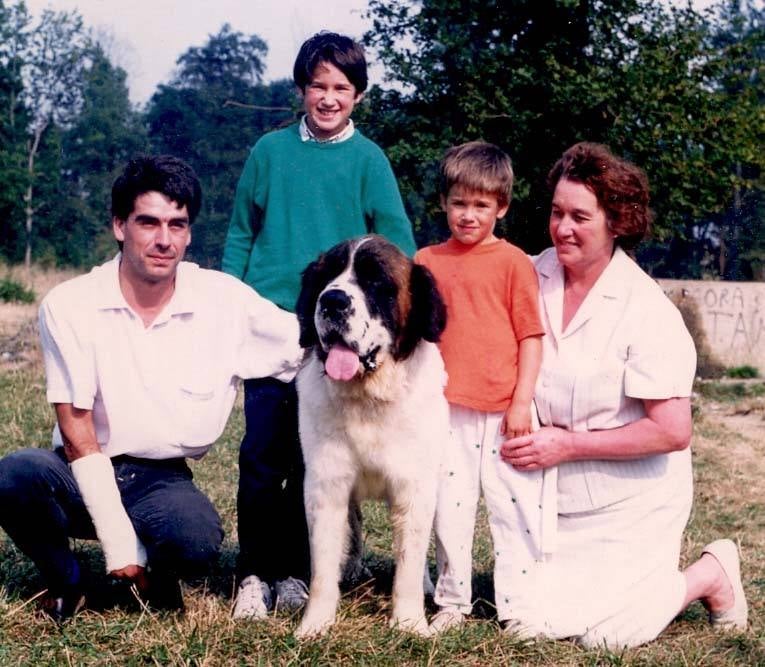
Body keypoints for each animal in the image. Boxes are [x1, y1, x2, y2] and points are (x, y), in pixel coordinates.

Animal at [292, 237, 448, 640]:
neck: (369, 398)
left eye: (376, 282)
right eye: (328, 276)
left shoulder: (414, 487)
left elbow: (409, 561)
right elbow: (322, 563)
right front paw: (316, 624)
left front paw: (409, 623)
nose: (332, 301)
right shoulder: (326, 484)